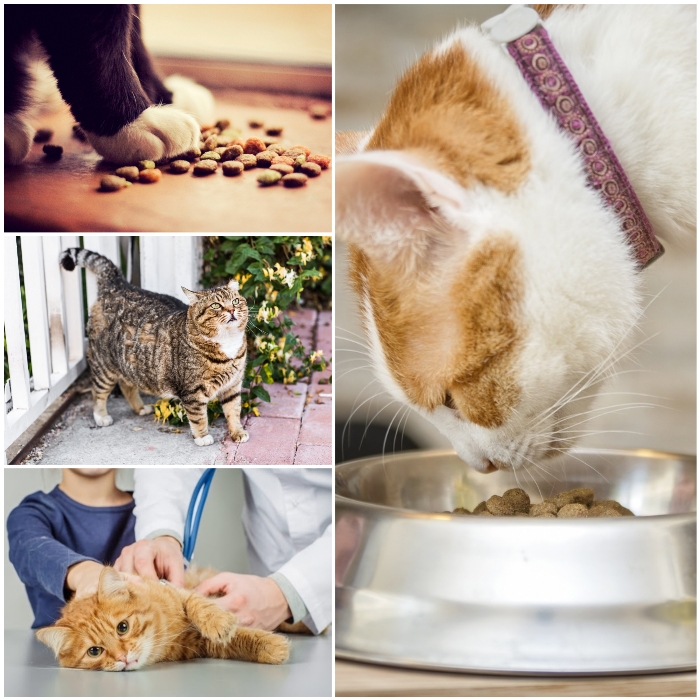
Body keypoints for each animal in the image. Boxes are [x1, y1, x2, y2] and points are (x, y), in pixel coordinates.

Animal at [34, 568, 288, 668]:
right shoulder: (200, 645)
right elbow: (235, 642)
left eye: (122, 627)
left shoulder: (178, 592)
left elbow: (199, 604)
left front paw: (219, 621)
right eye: (94, 651)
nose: (123, 658)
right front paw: (272, 647)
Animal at [60, 249, 250, 448]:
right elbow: (198, 417)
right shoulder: (192, 392)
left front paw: (237, 432)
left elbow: (233, 410)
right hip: (104, 365)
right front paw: (202, 437)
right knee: (98, 391)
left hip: (130, 362)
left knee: (126, 384)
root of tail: (118, 285)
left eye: (236, 301)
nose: (231, 310)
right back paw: (101, 416)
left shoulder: (233, 385)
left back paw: (140, 408)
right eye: (216, 305)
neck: (227, 342)